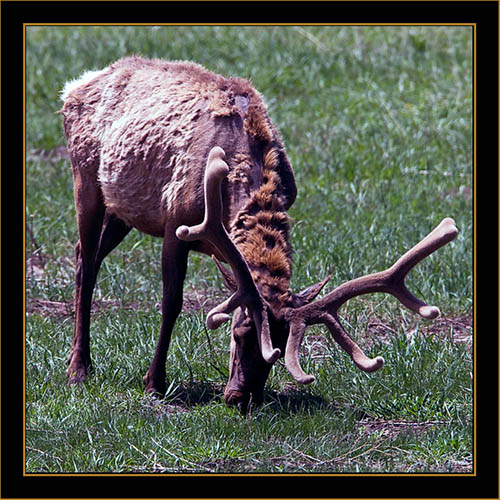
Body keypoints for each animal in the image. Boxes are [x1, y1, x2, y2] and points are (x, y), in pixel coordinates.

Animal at [60, 56, 458, 412]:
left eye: (279, 351)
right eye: (239, 333)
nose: (240, 399)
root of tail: (77, 85)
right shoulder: (176, 221)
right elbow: (171, 301)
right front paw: (154, 384)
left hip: (123, 207)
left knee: (84, 251)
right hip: (85, 177)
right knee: (86, 261)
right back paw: (79, 369)